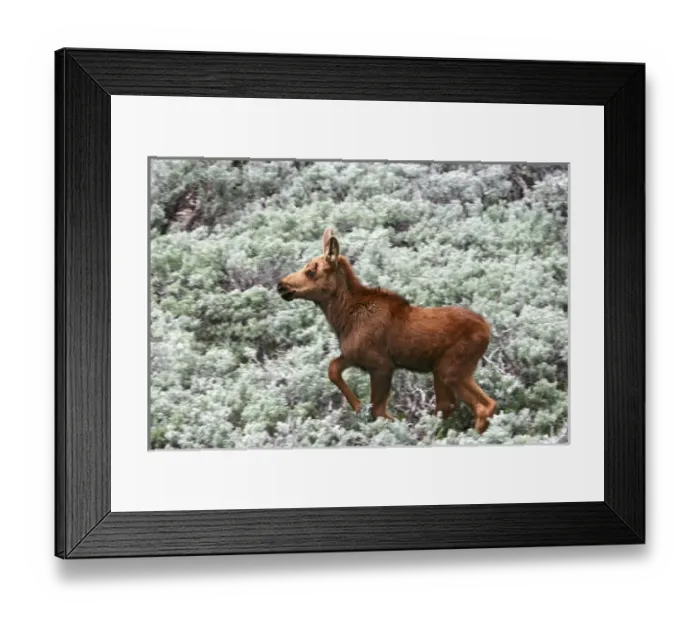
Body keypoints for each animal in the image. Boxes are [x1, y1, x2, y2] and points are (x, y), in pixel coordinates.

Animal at [277, 228, 498, 433]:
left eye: (311, 271)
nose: (281, 286)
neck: (343, 319)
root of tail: (487, 331)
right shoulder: (354, 355)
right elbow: (333, 369)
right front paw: (359, 407)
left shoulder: (381, 364)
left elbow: (378, 410)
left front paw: (367, 412)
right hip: (444, 370)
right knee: (451, 406)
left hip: (452, 368)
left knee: (483, 406)